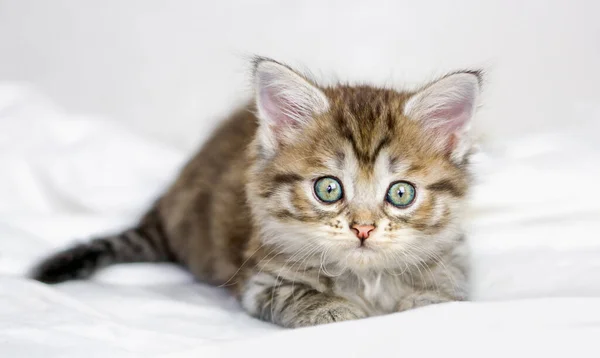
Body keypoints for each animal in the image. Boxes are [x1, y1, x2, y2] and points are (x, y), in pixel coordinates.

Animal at [31, 57, 482, 328]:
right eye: (328, 188)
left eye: (401, 194)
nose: (364, 229)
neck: (365, 277)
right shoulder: (261, 281)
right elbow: (303, 297)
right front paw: (339, 311)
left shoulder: (453, 269)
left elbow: (442, 299)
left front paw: (421, 308)